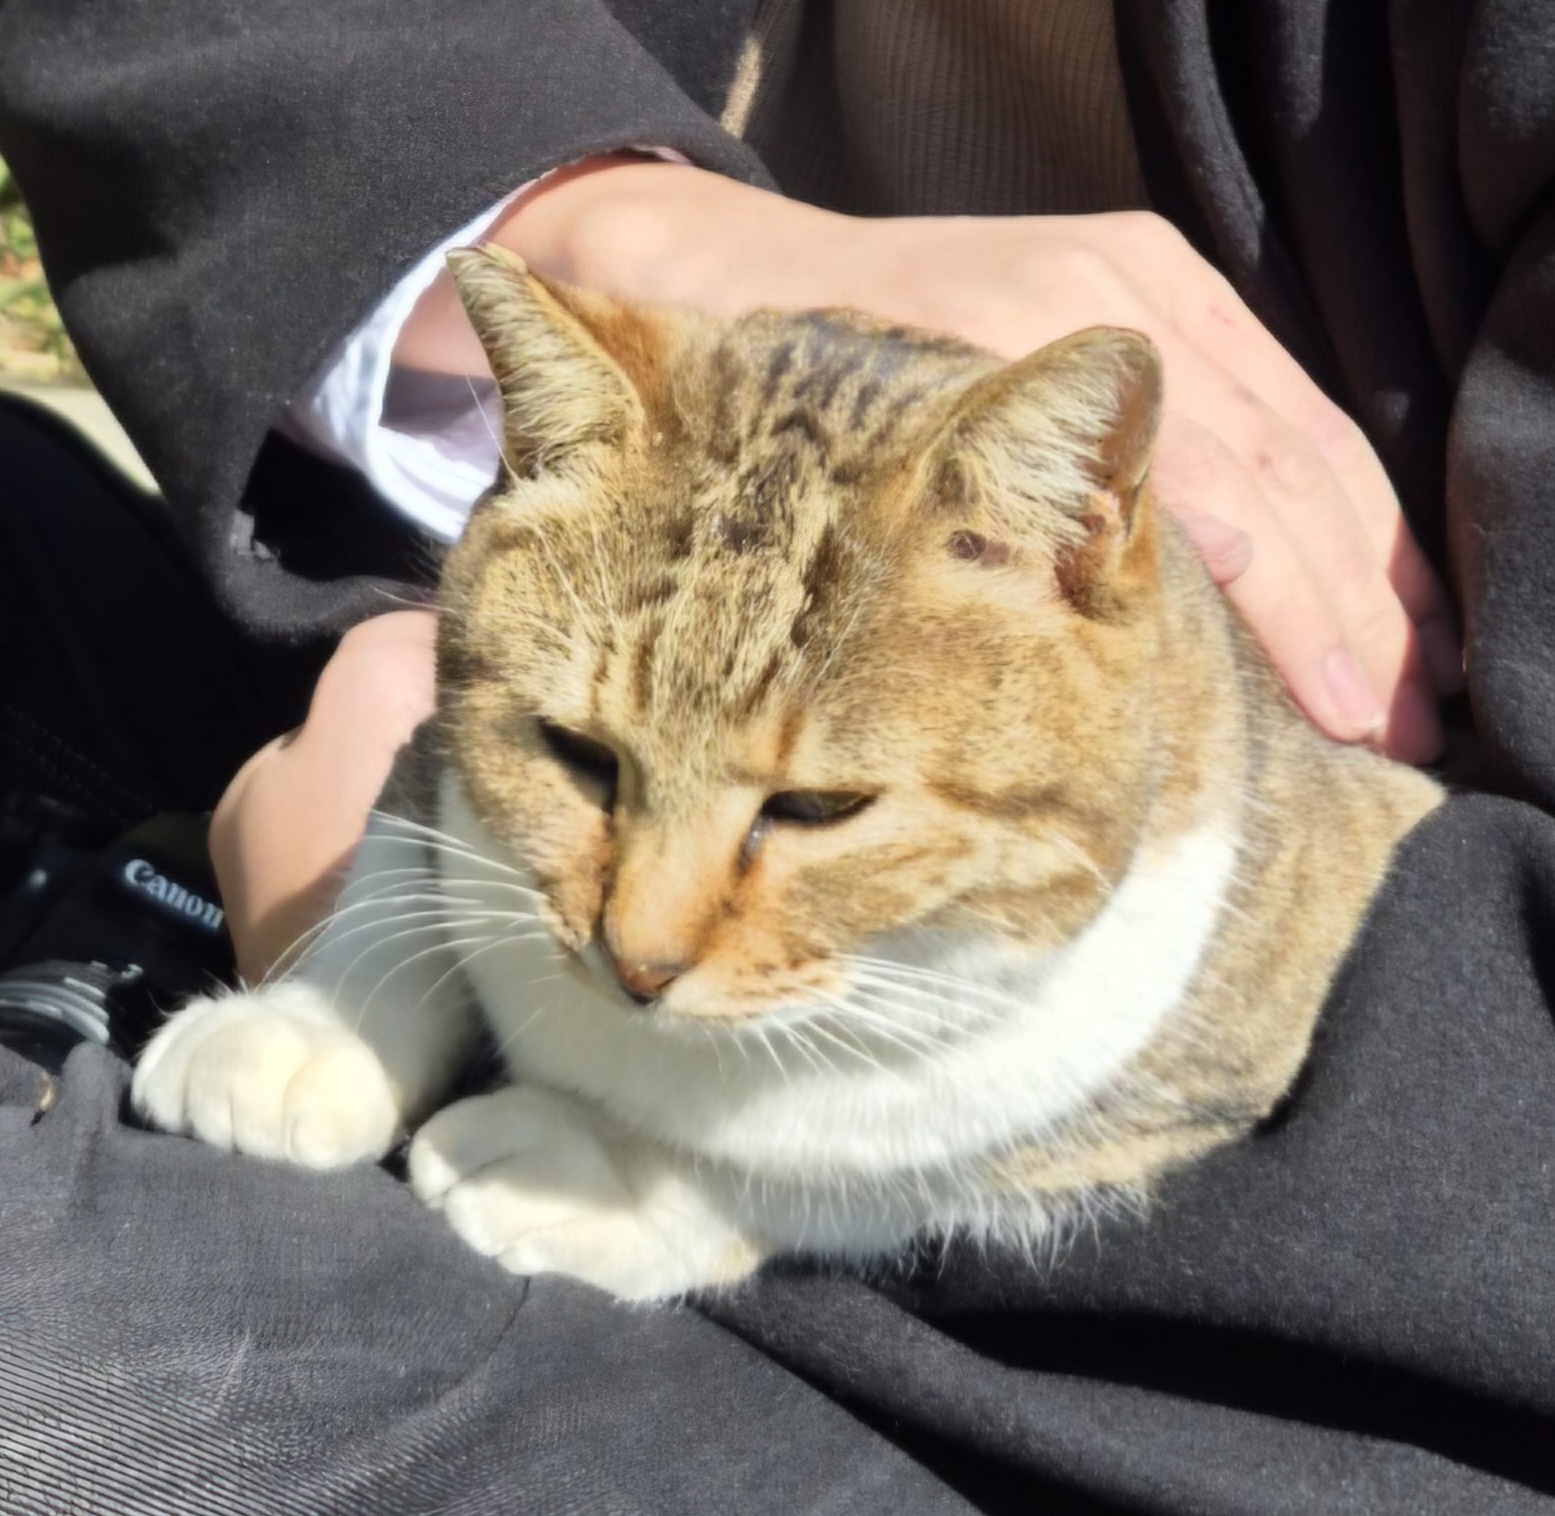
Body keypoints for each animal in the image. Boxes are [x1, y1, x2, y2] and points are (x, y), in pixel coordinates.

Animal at [131, 246, 1442, 1301]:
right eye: (579, 754)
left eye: (818, 808)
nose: (636, 964)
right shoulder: (441, 760)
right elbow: (404, 884)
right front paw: (306, 1033)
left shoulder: (1180, 1060)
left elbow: (855, 1173)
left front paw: (592, 1170)